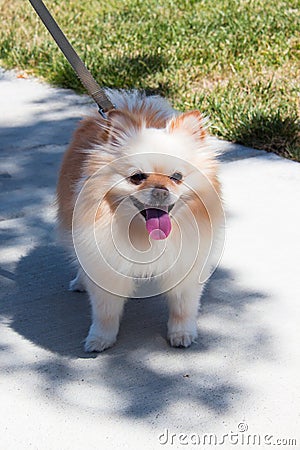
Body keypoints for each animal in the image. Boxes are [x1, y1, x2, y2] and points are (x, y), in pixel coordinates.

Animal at [57, 89, 224, 352]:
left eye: (177, 177)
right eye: (137, 177)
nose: (160, 190)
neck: (144, 237)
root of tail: (132, 104)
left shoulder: (186, 266)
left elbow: (183, 307)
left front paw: (182, 333)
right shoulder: (106, 267)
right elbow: (105, 312)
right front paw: (100, 338)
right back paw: (80, 281)